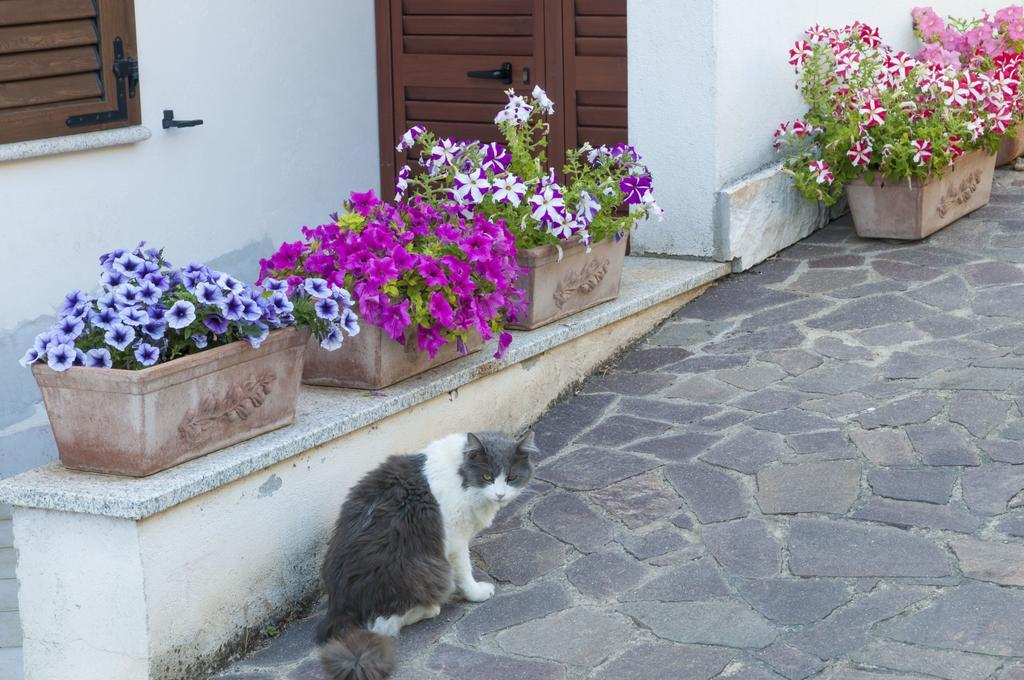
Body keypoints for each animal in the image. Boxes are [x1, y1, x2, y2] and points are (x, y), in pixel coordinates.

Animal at [313, 430, 536, 680]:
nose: (500, 495)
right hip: (424, 570)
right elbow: (465, 572)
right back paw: (430, 608)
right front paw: (476, 592)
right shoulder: (455, 540)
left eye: (512, 477)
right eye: (487, 476)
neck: (461, 476)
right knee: (382, 624)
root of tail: (339, 603)